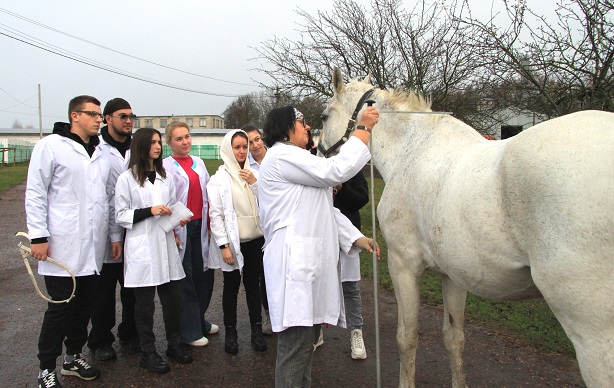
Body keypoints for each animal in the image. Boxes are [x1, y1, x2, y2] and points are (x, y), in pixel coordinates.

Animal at [320, 68, 612, 386]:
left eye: (324, 116)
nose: (319, 153)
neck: (412, 150)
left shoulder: (403, 265)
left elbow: (406, 338)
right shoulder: (453, 273)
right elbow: (454, 338)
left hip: (594, 336)